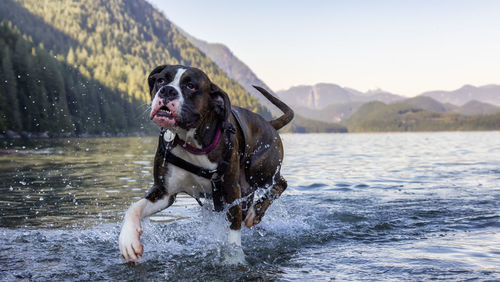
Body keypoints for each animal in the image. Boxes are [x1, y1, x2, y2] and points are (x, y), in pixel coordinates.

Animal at [118, 64, 292, 262]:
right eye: (161, 80)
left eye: (191, 86)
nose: (167, 91)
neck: (190, 142)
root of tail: (269, 123)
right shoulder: (164, 192)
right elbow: (134, 208)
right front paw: (128, 239)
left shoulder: (231, 191)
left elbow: (233, 231)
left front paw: (234, 258)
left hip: (259, 171)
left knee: (280, 184)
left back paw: (255, 213)